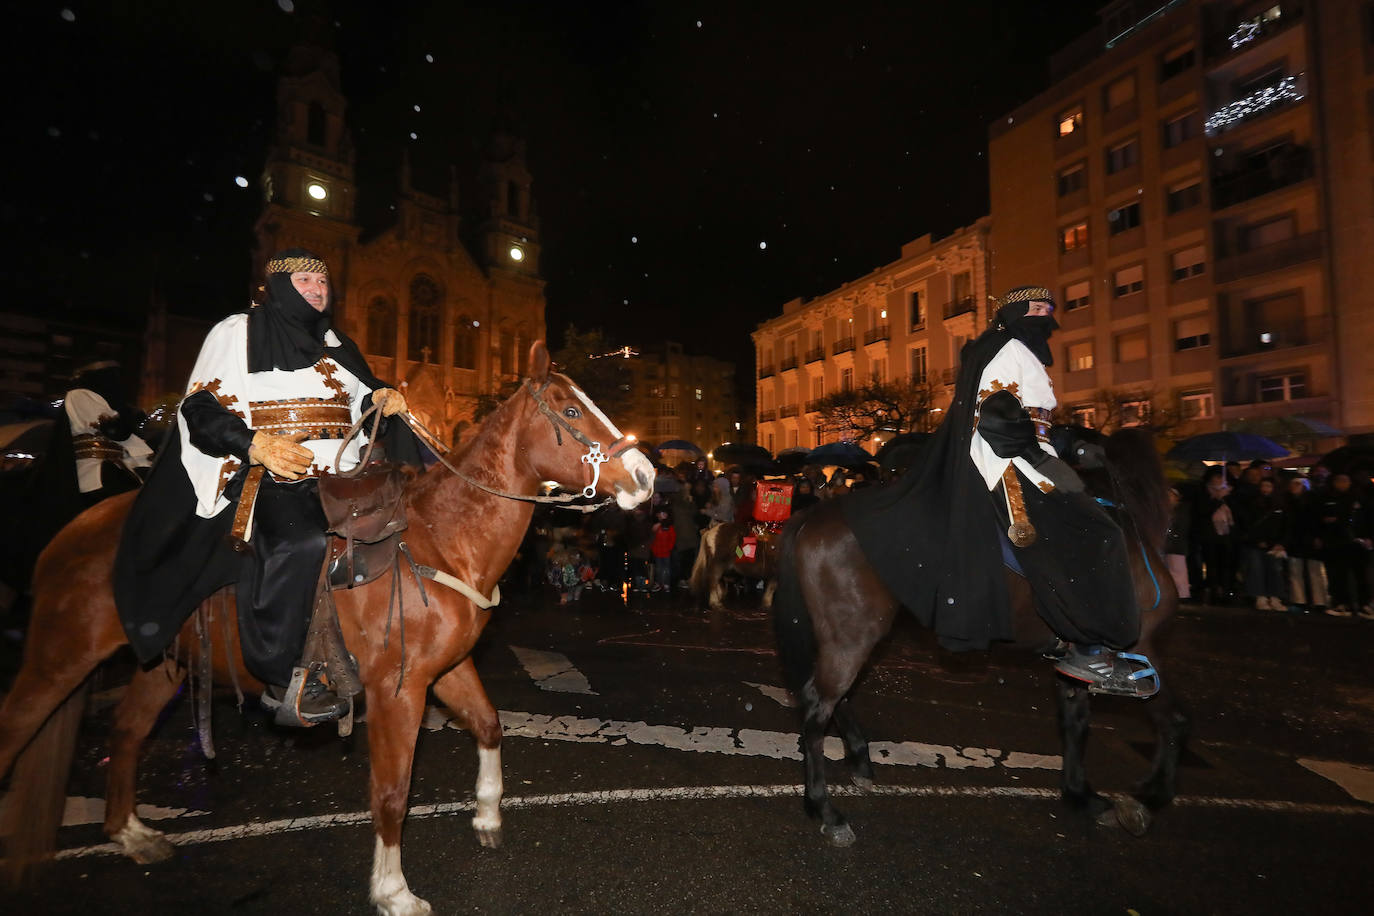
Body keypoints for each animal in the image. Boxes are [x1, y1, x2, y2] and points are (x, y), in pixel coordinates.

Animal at [0, 341, 654, 916]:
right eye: (571, 411)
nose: (646, 476)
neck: (441, 539)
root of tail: (67, 535)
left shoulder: (445, 670)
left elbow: (490, 725)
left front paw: (488, 815)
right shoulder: (397, 691)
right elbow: (391, 792)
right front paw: (393, 892)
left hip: (162, 663)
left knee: (129, 731)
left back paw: (131, 834)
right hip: (60, 657)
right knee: (20, 726)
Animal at [774, 431, 1192, 845]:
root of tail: (814, 515)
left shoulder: (1076, 665)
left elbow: (1076, 723)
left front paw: (1081, 795)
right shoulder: (1142, 654)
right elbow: (1172, 718)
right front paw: (1150, 797)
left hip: (851, 635)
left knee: (835, 698)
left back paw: (859, 763)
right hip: (852, 636)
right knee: (817, 709)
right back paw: (825, 809)